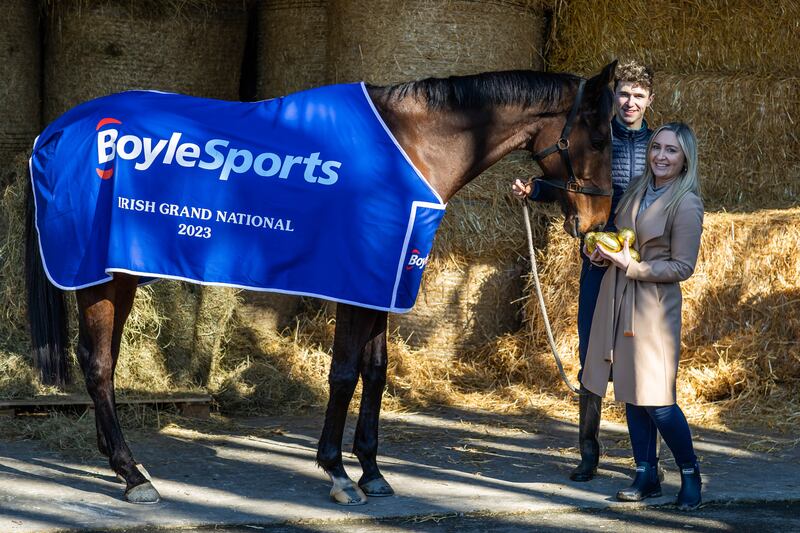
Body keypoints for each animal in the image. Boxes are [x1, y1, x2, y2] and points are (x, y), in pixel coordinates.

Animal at [23, 61, 612, 502]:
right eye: (602, 137)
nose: (597, 222)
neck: (408, 146)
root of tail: (54, 132)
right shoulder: (357, 282)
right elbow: (345, 374)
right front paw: (337, 472)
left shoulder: (382, 284)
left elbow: (376, 372)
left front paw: (372, 471)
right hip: (100, 278)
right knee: (99, 365)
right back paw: (132, 475)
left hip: (119, 275)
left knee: (99, 361)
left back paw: (121, 464)